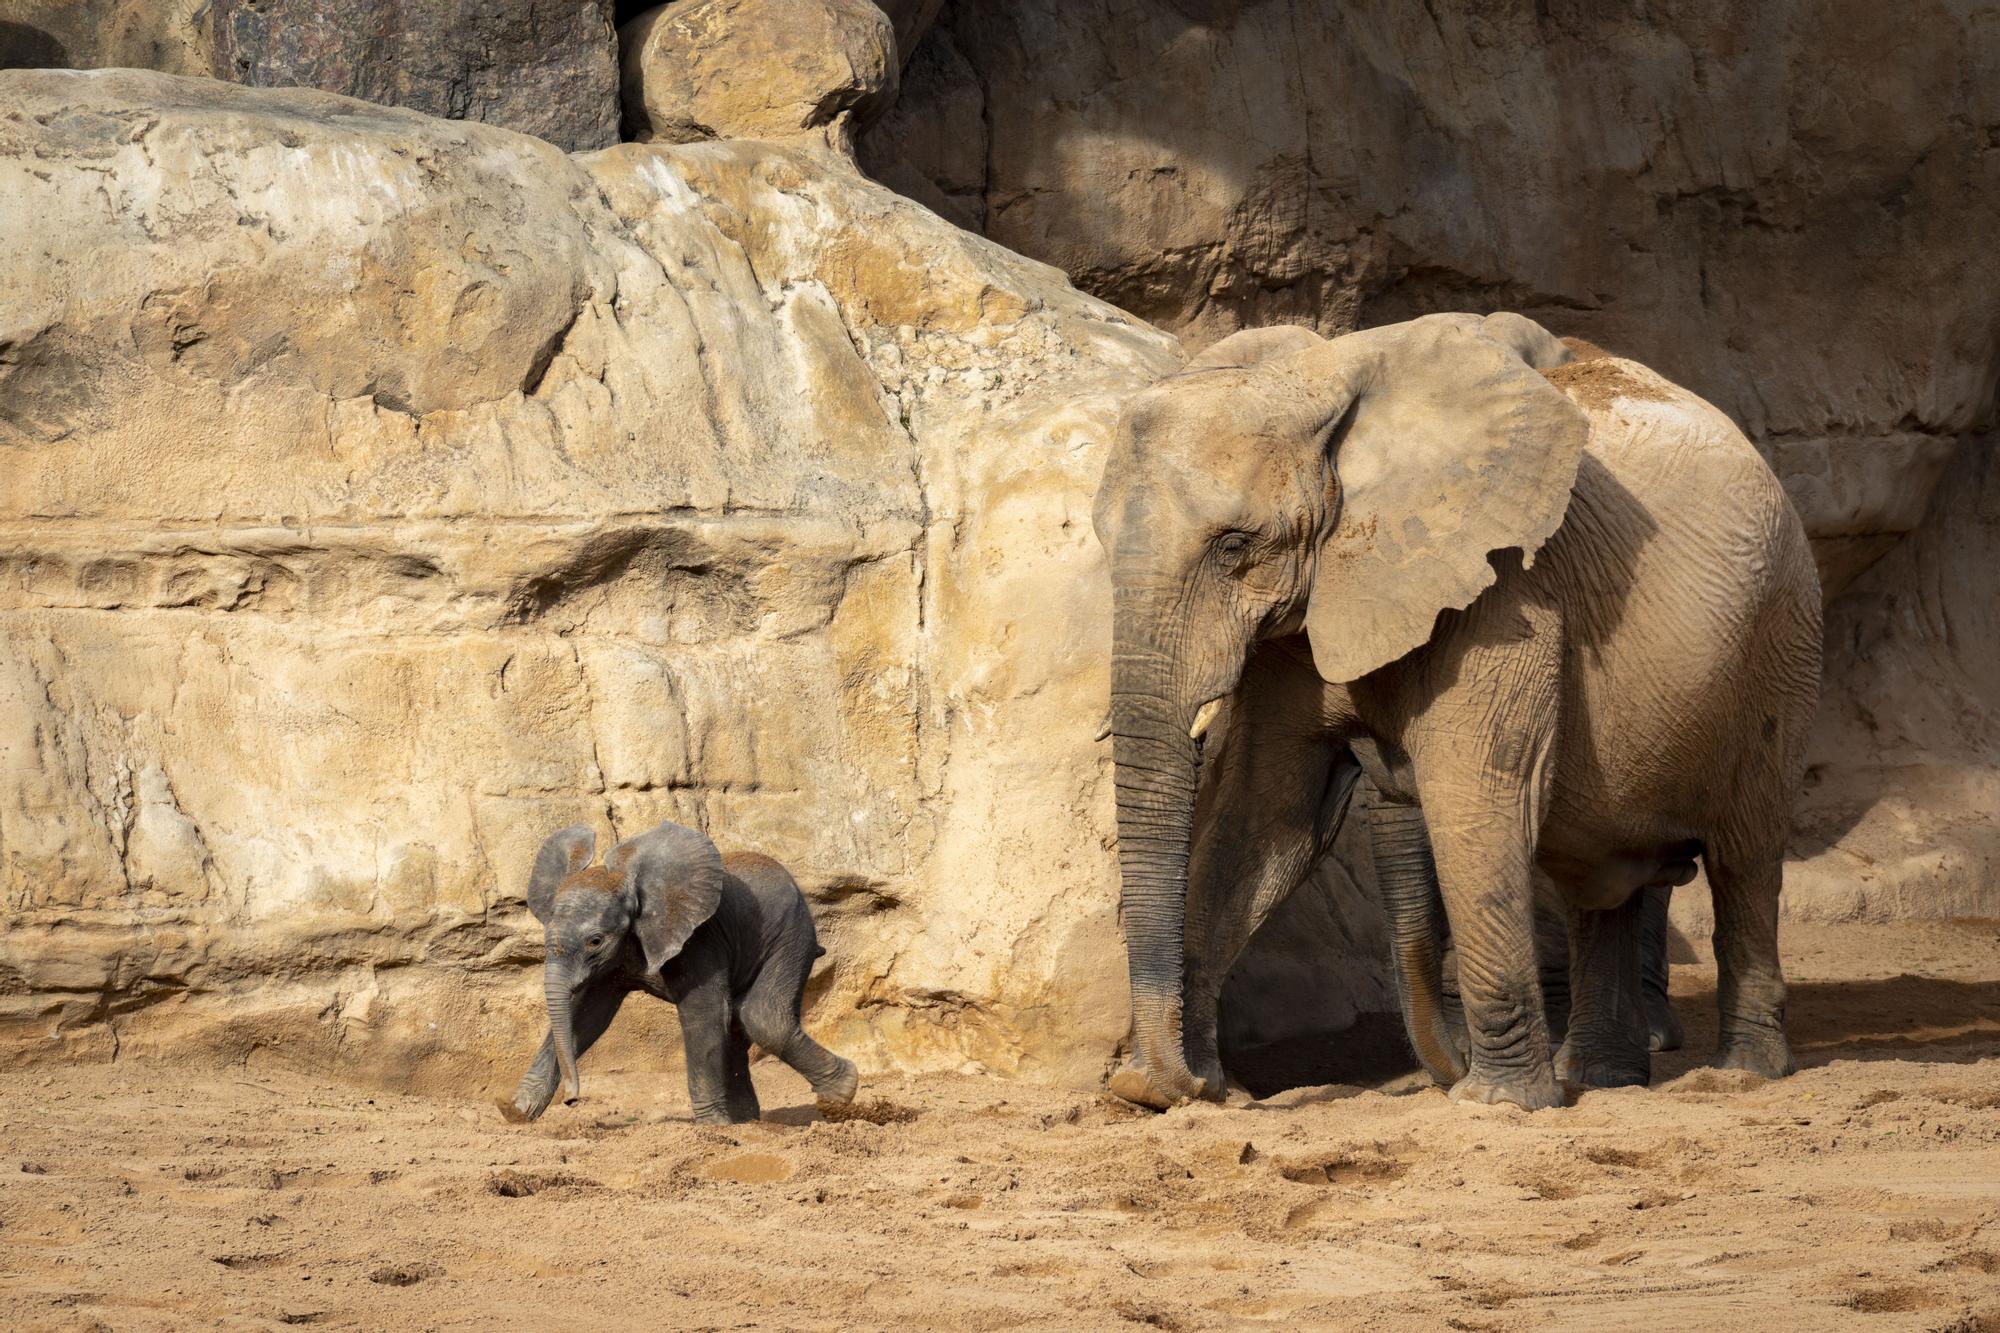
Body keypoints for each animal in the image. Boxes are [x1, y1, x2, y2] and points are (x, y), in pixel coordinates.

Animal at [504, 816, 856, 1112]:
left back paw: (839, 1097)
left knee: (763, 1017)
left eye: (595, 941)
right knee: (741, 1021)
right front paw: (518, 1112)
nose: (571, 1100)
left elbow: (704, 1013)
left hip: (791, 934)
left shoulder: (700, 937)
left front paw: (712, 1127)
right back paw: (750, 1122)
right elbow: (587, 1016)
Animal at [1104, 306, 1824, 1104]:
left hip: (1780, 643)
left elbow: (1474, 800)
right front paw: (1180, 1089)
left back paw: (1740, 1074)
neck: (1327, 380)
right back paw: (1602, 1079)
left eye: (1234, 545)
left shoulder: (1508, 591)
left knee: (1745, 857)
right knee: (1603, 878)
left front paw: (1496, 1104)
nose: (1157, 1082)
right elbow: (1264, 818)